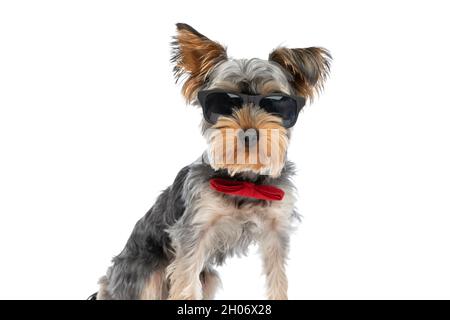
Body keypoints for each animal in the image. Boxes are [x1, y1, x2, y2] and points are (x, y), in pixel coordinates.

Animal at [93, 22, 328, 300]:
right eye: (223, 103)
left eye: (274, 103)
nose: (249, 133)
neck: (243, 178)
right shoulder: (193, 231)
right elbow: (186, 283)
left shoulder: (275, 230)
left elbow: (278, 279)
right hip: (143, 274)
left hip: (210, 277)